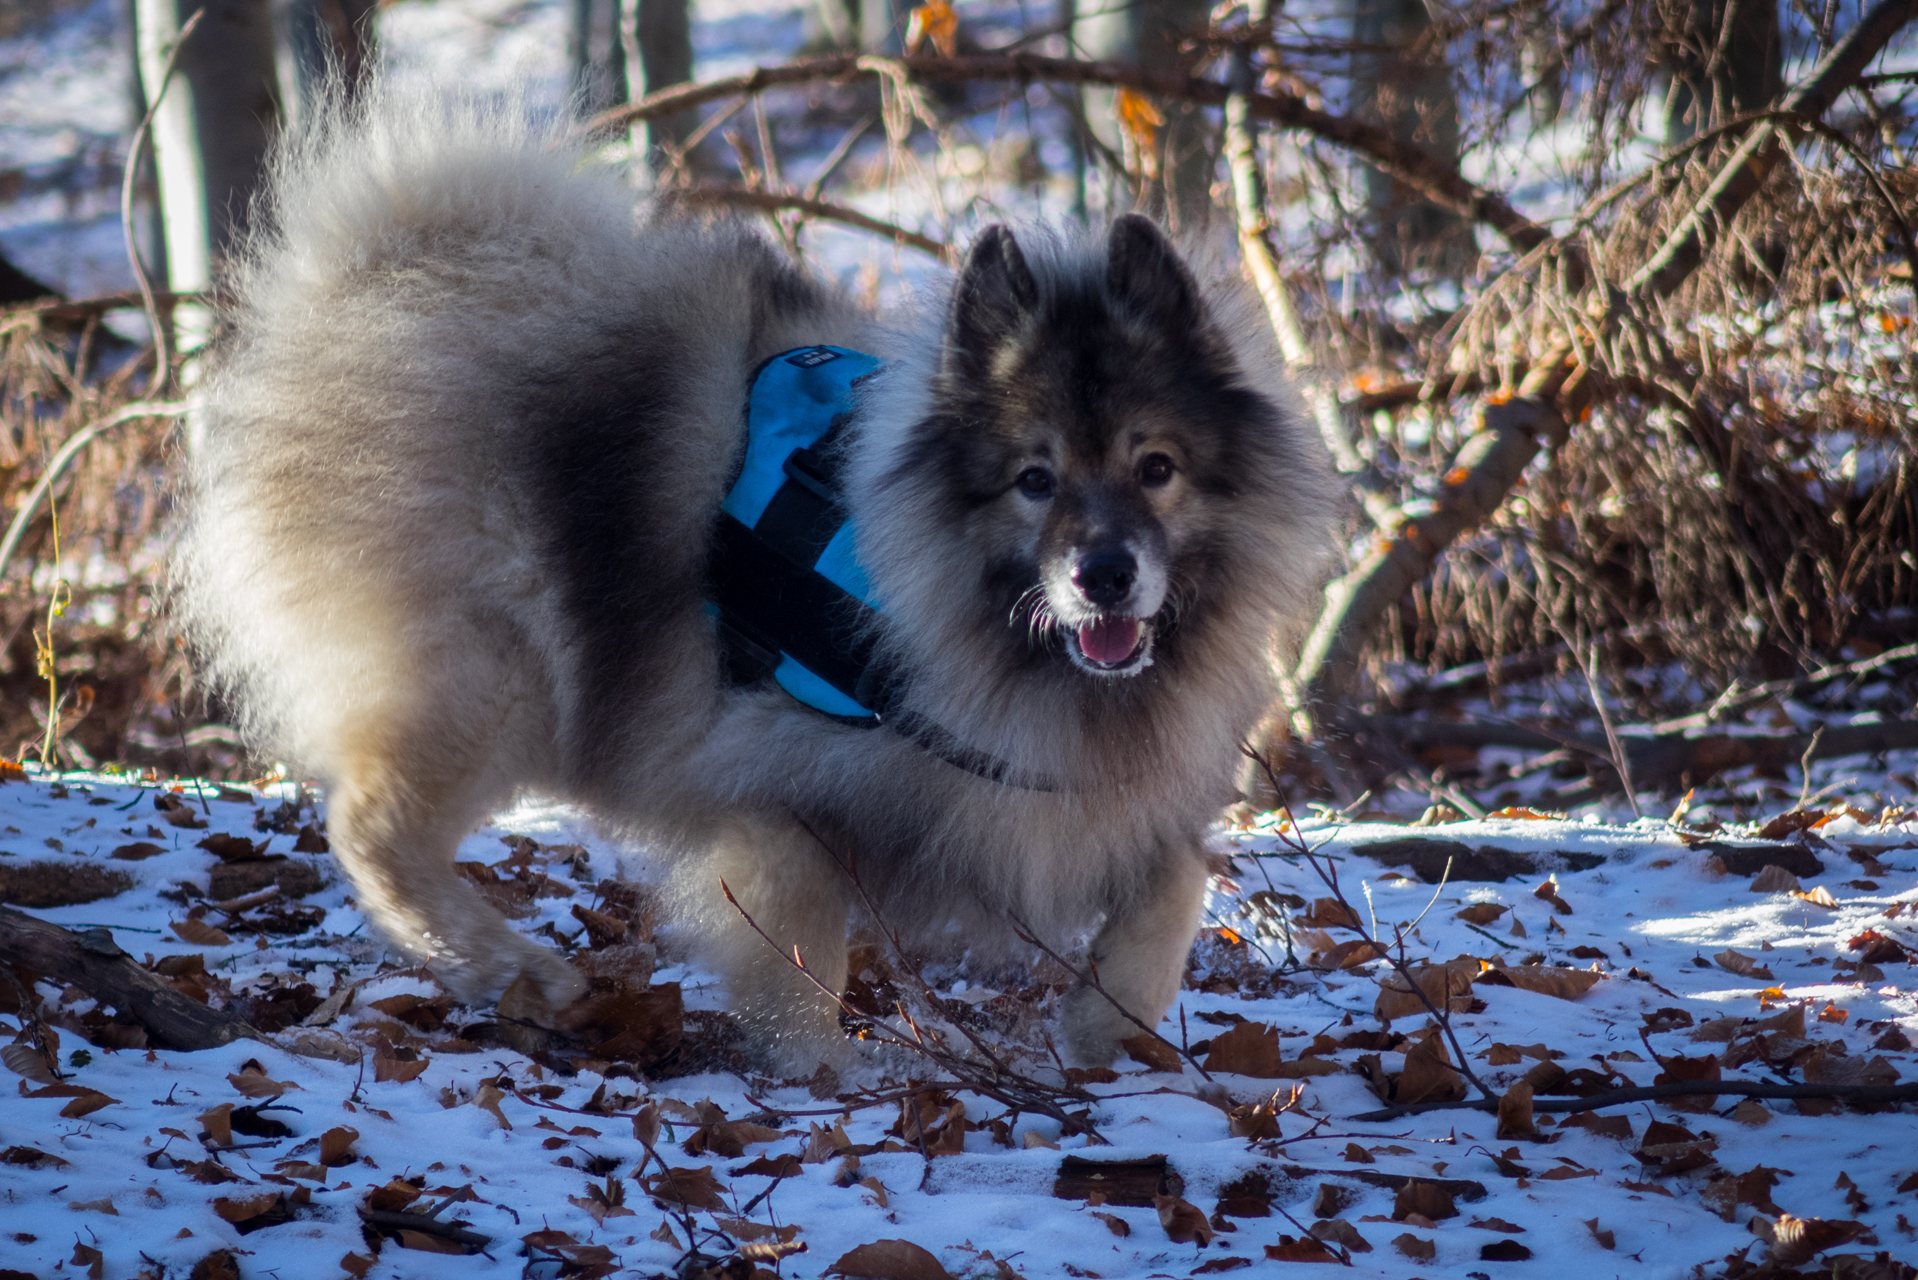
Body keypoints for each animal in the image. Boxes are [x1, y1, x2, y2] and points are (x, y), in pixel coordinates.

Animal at [172, 87, 1334, 1074]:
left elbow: (1178, 882)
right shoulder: (776, 782)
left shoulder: (1081, 802)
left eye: (1156, 467)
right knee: (369, 827)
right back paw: (519, 971)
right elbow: (802, 943)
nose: (1103, 575)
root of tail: (370, 283)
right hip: (500, 674)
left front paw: (1104, 1024)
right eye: (1034, 479)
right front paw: (827, 1071)